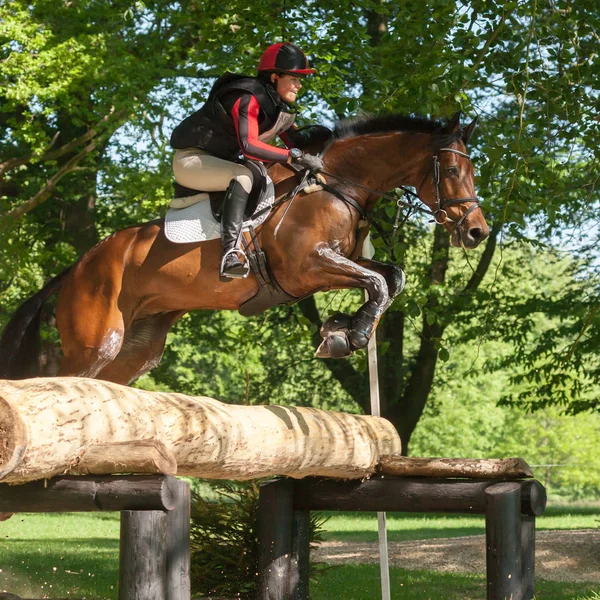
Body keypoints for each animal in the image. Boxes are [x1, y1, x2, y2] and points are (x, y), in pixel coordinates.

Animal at [0, 112, 488, 384]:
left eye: (472, 170)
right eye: (449, 170)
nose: (476, 232)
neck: (337, 185)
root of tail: (77, 268)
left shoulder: (342, 260)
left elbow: (390, 277)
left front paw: (340, 327)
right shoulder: (307, 267)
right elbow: (378, 282)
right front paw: (348, 335)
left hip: (136, 349)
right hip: (97, 342)